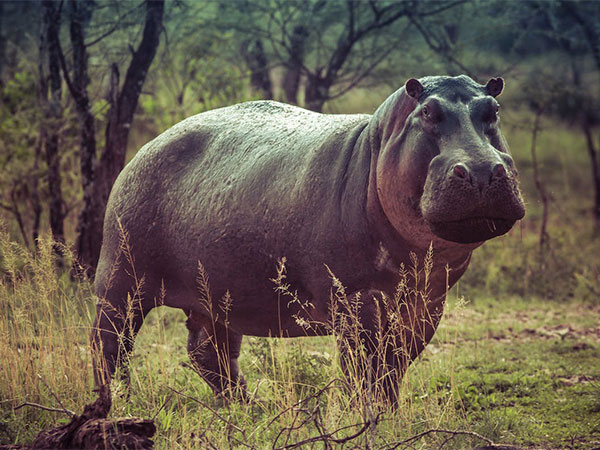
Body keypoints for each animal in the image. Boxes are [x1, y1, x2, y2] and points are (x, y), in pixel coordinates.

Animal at [90, 74, 524, 404]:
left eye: (493, 111)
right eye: (429, 112)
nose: (482, 170)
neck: (376, 145)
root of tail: (147, 145)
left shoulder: (425, 305)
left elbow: (392, 370)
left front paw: (388, 414)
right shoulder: (356, 304)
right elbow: (363, 370)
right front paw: (366, 418)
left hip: (216, 295)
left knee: (208, 352)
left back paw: (247, 407)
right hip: (121, 278)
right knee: (108, 344)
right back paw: (116, 403)